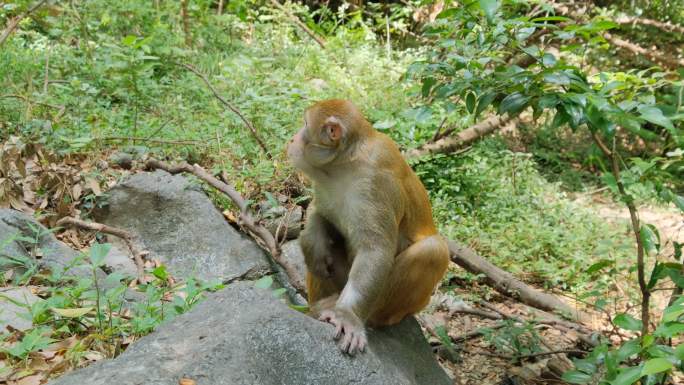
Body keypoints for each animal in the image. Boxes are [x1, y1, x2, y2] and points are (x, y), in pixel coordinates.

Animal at [288, 98, 452, 354]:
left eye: (305, 124)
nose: (292, 139)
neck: (343, 164)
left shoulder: (375, 184)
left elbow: (375, 251)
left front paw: (348, 316)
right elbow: (321, 213)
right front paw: (312, 240)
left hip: (404, 307)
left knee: (433, 250)